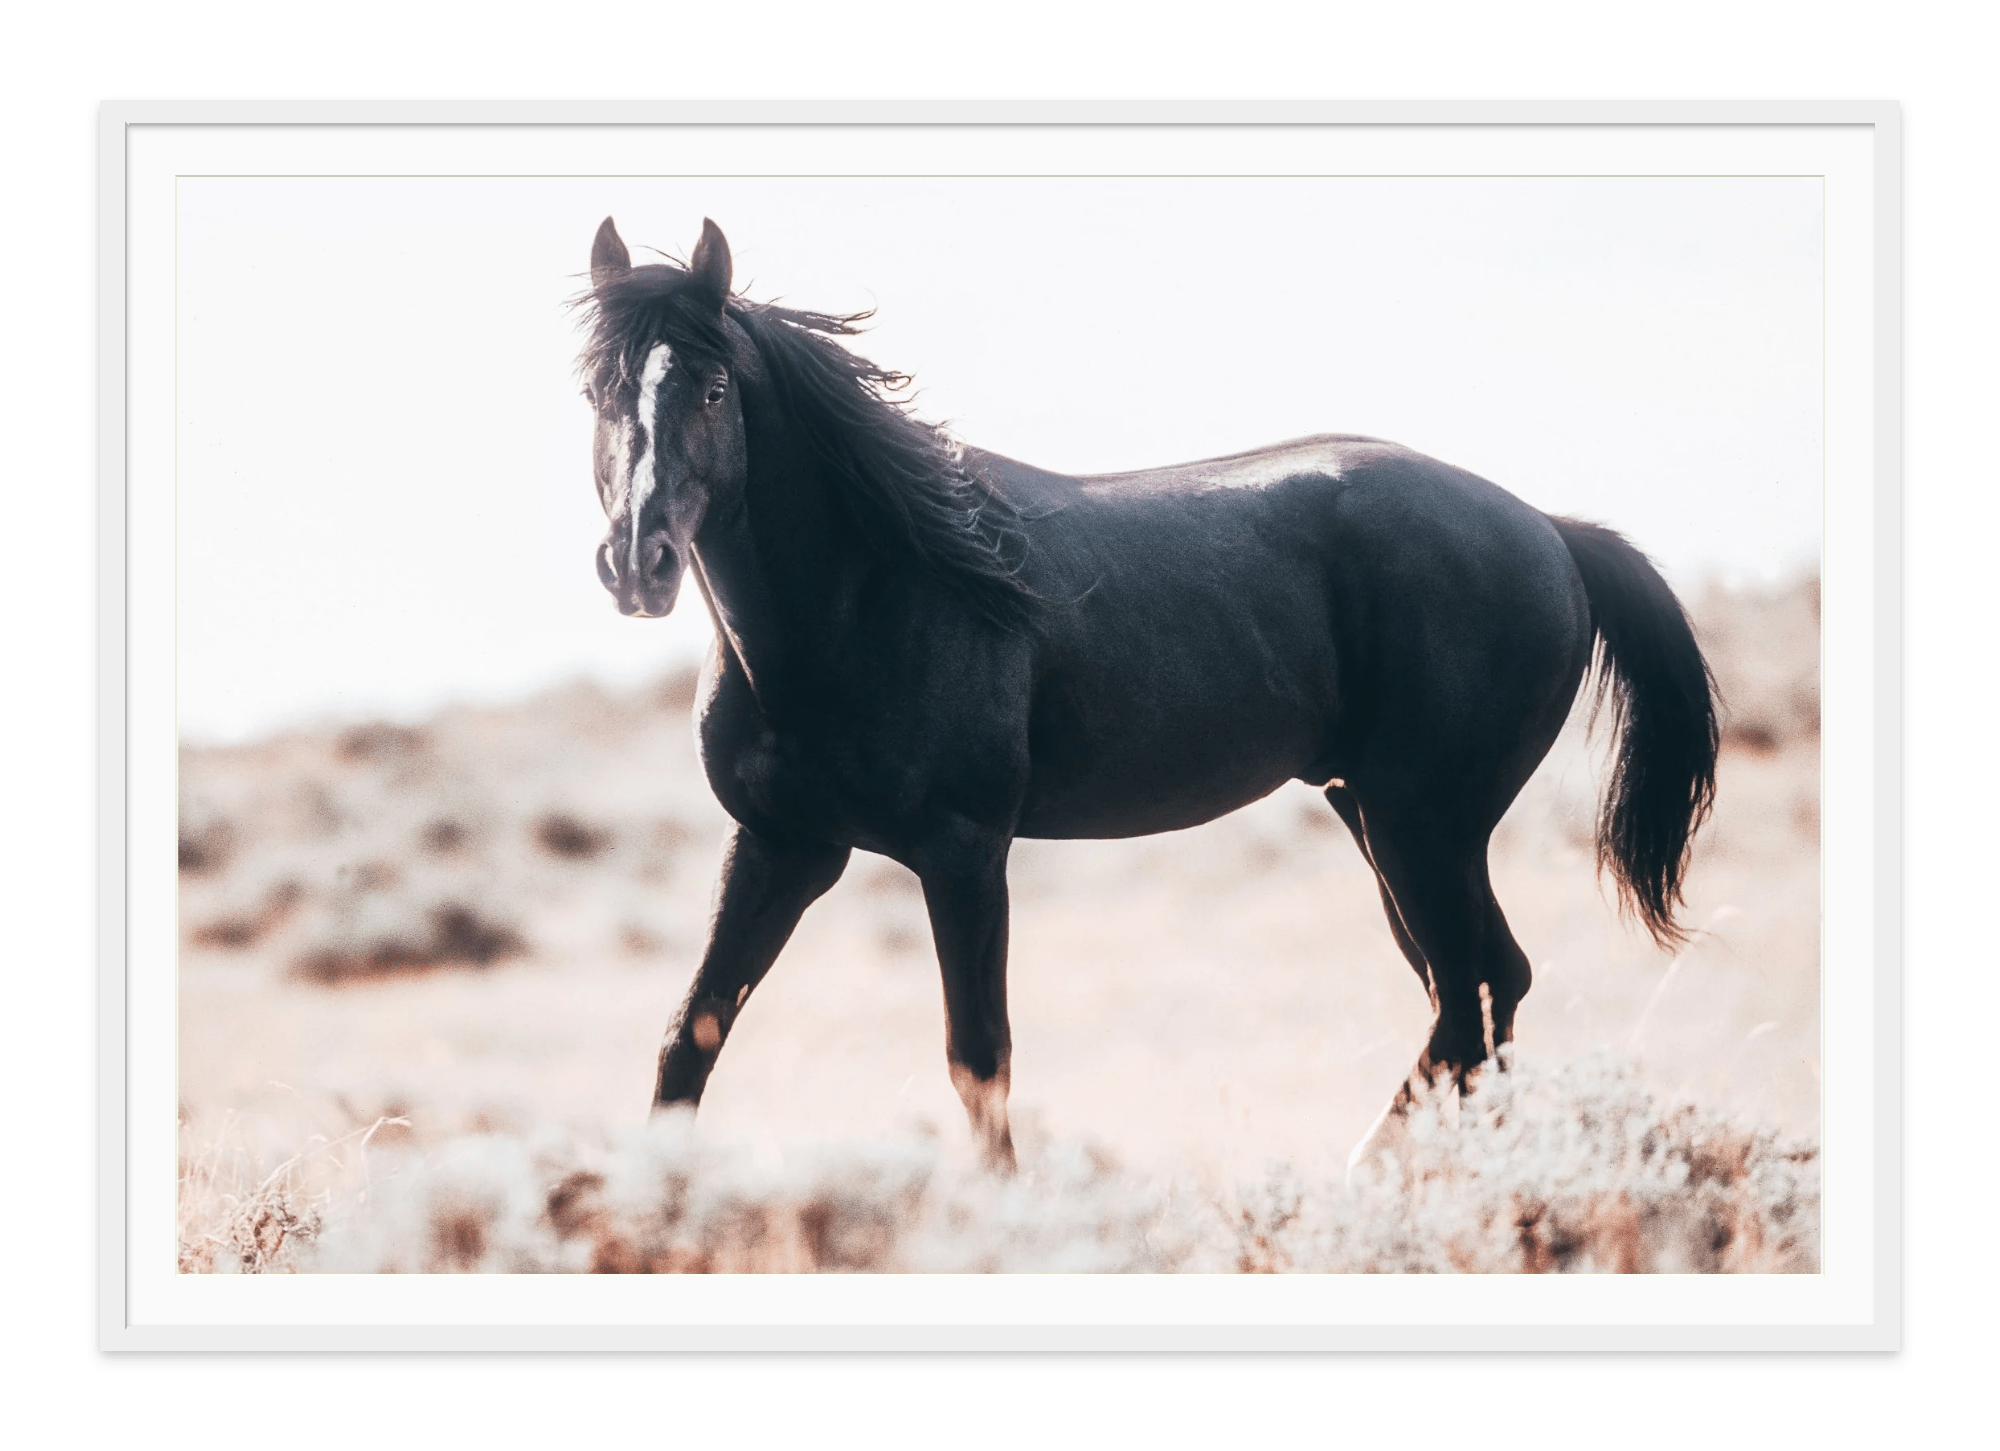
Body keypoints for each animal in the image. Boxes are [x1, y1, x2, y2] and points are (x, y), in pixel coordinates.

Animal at [573, 216, 1718, 1172]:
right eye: (597, 393)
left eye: (712, 389)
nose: (638, 563)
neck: (871, 591)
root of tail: (1549, 530)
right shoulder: (782, 846)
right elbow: (689, 1036)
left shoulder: (963, 852)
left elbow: (977, 1058)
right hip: (1376, 816)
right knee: (1471, 996)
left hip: (1422, 826)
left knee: (1476, 996)